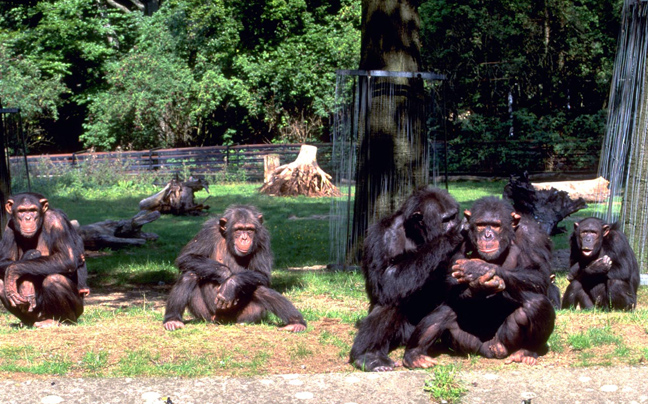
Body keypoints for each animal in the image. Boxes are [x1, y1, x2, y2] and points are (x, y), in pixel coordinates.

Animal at [0, 193, 88, 328]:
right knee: (0, 284)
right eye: (21, 211)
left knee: (54, 280)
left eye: (33, 210)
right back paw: (27, 322)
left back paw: (61, 321)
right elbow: (4, 260)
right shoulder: (8, 226)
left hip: (76, 310)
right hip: (36, 314)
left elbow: (66, 258)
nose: (28, 218)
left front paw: (14, 273)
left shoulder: (56, 221)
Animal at [161, 205, 306, 332]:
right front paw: (225, 274)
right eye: (238, 229)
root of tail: (224, 321)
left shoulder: (263, 238)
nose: (244, 238)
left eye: (250, 230)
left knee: (260, 289)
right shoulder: (208, 231)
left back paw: (296, 323)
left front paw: (230, 285)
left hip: (244, 316)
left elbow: (262, 274)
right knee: (189, 274)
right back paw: (173, 320)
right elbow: (187, 257)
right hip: (204, 314)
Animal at [352, 188, 464, 370]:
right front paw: (451, 236)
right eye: (445, 220)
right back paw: (369, 355)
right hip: (403, 333)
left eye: (453, 216)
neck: (417, 234)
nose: (454, 224)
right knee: (391, 297)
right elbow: (386, 278)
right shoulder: (385, 235)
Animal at [402, 197, 556, 368]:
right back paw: (415, 354)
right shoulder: (457, 237)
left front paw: (479, 268)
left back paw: (526, 352)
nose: (487, 235)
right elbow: (448, 281)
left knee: (536, 304)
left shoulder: (534, 235)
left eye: (496, 226)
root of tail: (488, 351)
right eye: (481, 225)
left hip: (505, 342)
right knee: (445, 310)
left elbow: (539, 275)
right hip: (468, 343)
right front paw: (477, 287)